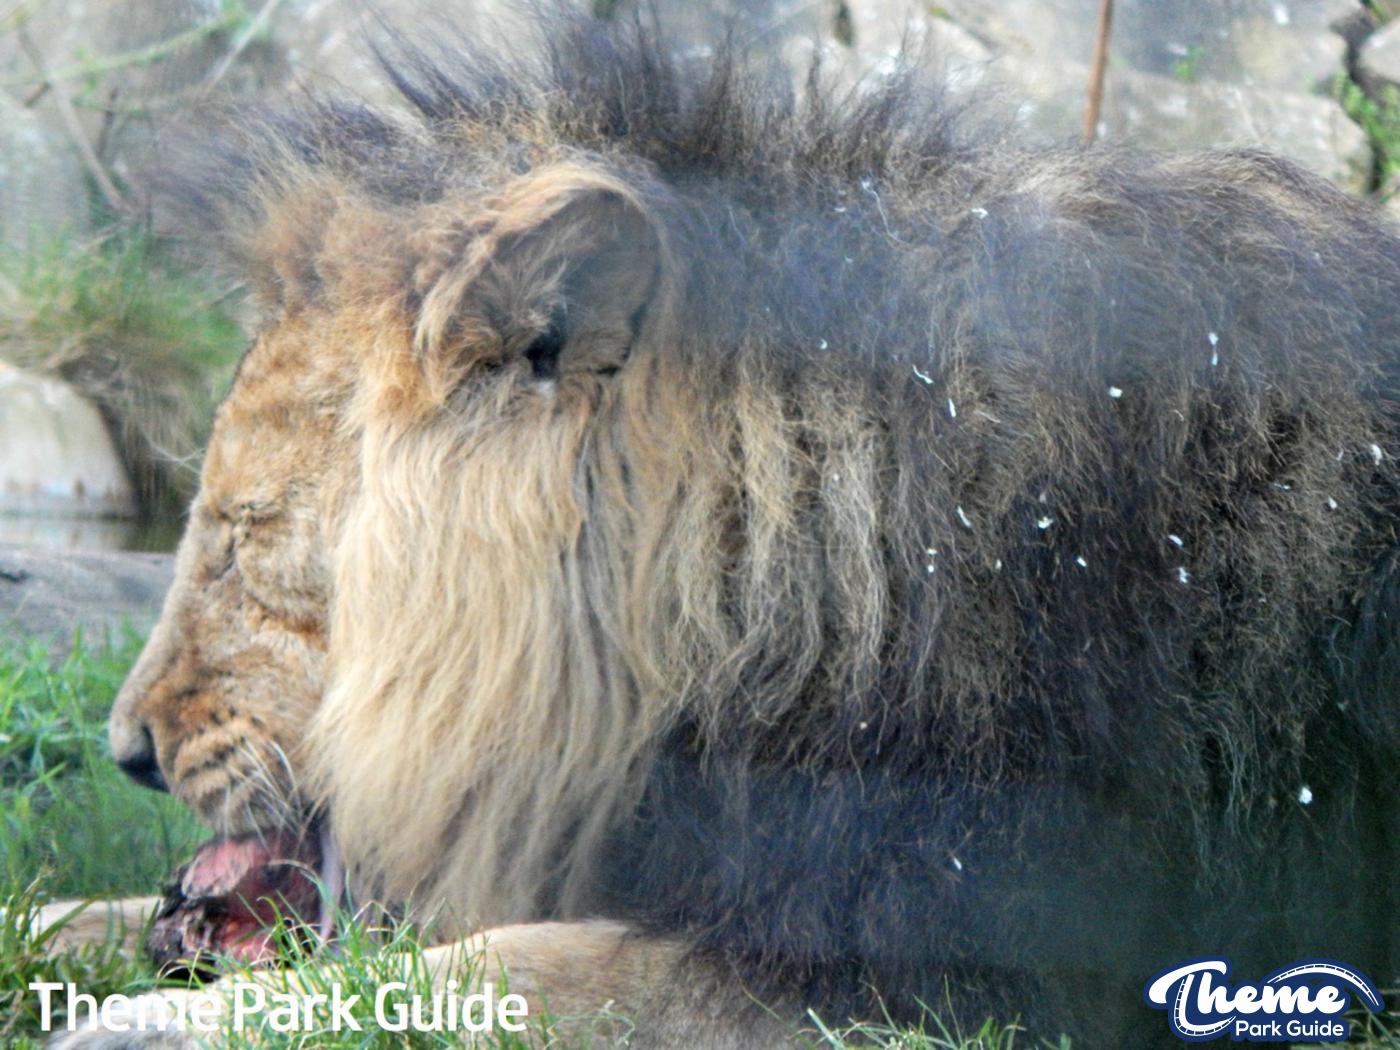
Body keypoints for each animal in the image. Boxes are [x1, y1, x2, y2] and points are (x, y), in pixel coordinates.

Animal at [42, 7, 1400, 1049]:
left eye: (241, 535)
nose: (128, 753)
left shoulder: (921, 969)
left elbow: (481, 972)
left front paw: (143, 1024)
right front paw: (61, 929)